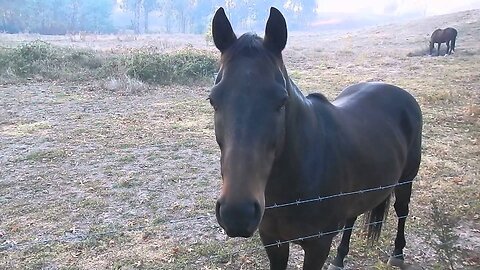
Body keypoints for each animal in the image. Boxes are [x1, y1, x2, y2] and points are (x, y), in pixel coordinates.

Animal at [212, 6, 422, 270]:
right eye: (213, 99)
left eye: (282, 101)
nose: (237, 213)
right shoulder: (273, 241)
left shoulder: (317, 246)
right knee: (351, 218)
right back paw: (340, 258)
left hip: (406, 180)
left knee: (402, 209)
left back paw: (398, 254)